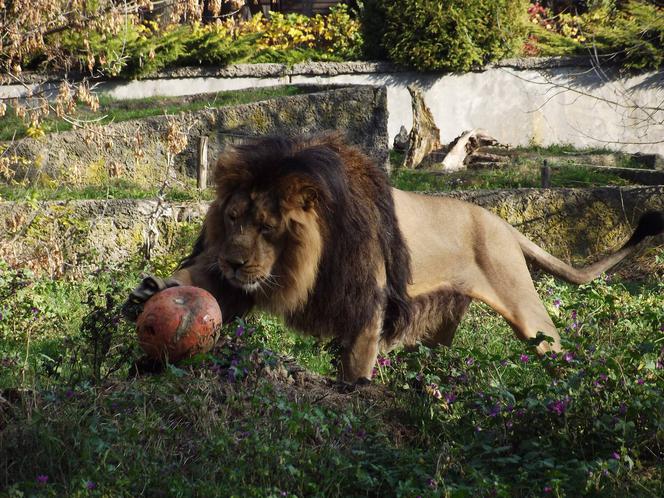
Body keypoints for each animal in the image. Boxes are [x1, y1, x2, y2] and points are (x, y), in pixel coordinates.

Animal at [124, 132, 664, 382]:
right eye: (234, 218)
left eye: (268, 228)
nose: (235, 263)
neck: (303, 259)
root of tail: (503, 223)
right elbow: (204, 287)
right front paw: (152, 291)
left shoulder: (367, 302)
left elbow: (356, 362)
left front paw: (355, 394)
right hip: (441, 323)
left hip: (525, 309)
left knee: (552, 343)